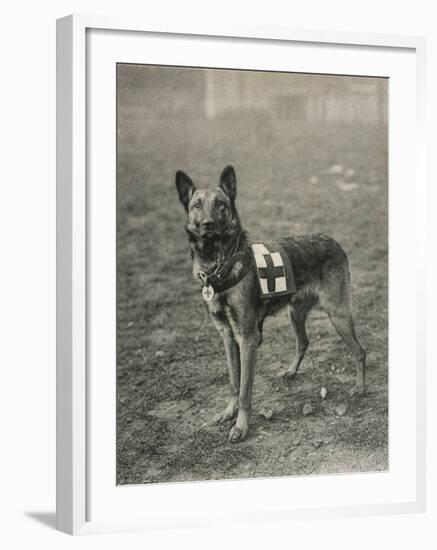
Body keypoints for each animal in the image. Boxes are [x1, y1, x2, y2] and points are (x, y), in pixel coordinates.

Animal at [174, 164, 364, 444]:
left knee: (360, 352)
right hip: (296, 313)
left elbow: (244, 390)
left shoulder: (248, 339)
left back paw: (360, 388)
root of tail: (332, 241)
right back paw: (291, 372)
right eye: (197, 205)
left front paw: (241, 426)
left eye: (220, 204)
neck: (219, 264)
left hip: (337, 314)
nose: (208, 224)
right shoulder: (228, 337)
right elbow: (233, 382)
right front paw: (228, 413)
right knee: (303, 342)